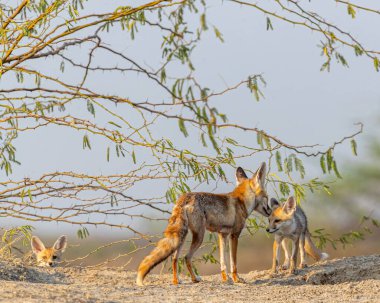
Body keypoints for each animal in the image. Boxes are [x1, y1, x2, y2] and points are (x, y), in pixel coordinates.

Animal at [137, 163, 270, 286]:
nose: (270, 211)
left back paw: (177, 280)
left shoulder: (222, 235)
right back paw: (193, 279)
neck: (241, 201)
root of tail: (185, 198)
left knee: (175, 258)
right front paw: (236, 279)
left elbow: (223, 262)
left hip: (182, 236)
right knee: (186, 257)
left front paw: (225, 279)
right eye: (266, 197)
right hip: (199, 236)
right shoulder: (234, 235)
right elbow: (234, 263)